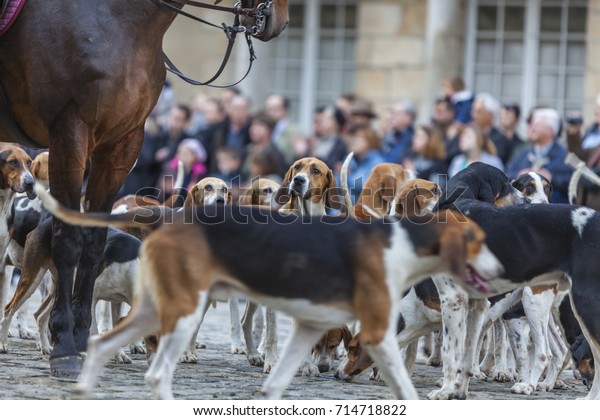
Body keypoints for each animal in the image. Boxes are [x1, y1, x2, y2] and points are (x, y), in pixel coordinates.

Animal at [0, 0, 290, 378]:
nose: (280, 21)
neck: (123, 23)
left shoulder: (123, 144)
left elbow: (93, 243)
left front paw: (81, 339)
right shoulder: (69, 134)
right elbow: (69, 240)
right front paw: (65, 346)